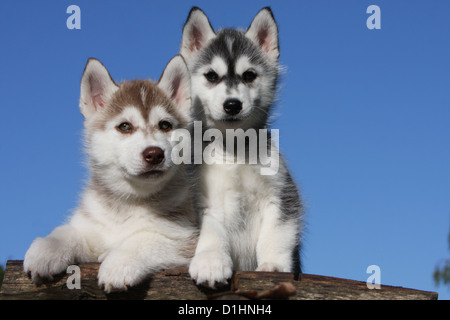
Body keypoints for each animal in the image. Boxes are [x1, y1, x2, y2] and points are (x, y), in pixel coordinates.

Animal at [23, 55, 198, 292]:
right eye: (124, 126)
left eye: (165, 125)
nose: (154, 154)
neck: (128, 202)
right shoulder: (92, 227)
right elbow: (69, 232)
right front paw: (47, 248)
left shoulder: (186, 239)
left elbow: (146, 239)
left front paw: (119, 263)